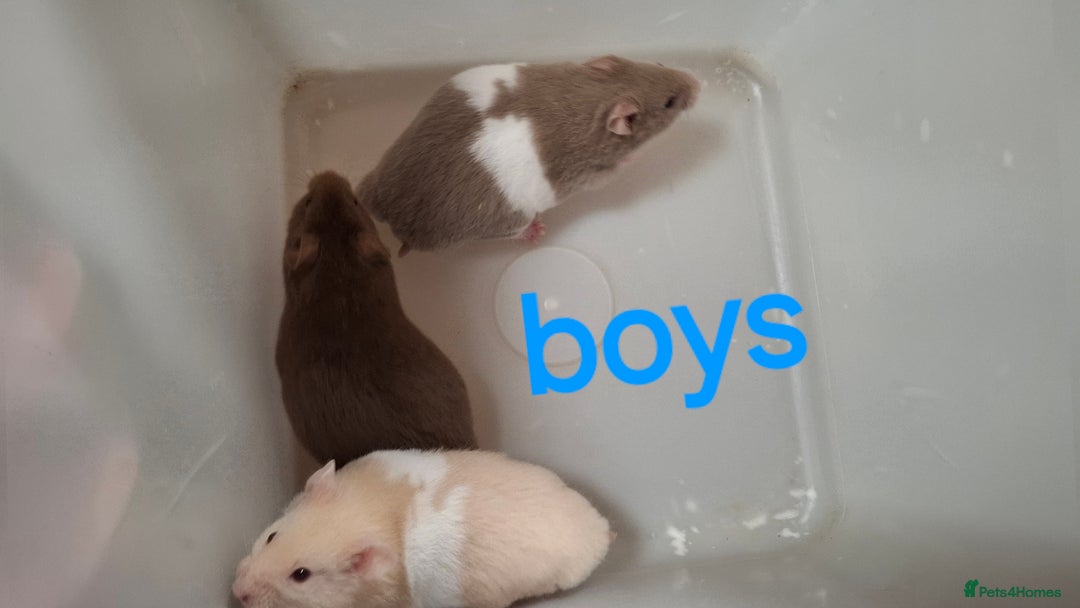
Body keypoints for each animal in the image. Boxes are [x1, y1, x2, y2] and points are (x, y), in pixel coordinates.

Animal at [357, 54, 701, 255]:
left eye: (660, 66)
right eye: (670, 103)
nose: (699, 83)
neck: (596, 95)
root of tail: (389, 212)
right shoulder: (594, 175)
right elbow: (613, 170)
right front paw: (632, 158)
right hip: (503, 221)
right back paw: (534, 231)